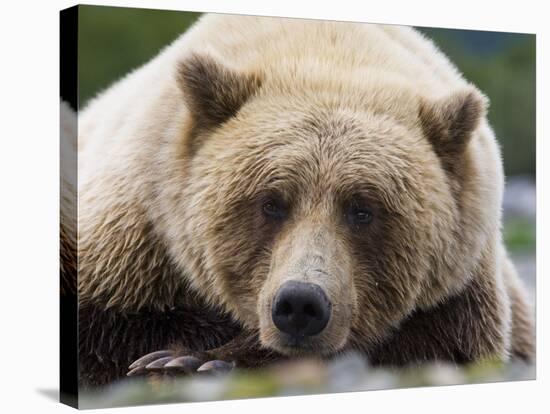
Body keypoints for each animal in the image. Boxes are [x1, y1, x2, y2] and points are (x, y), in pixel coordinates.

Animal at [76, 13, 536, 388]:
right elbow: (100, 330)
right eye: (270, 202)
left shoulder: (455, 295)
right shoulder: (138, 236)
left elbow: (425, 346)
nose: (300, 304)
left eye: (363, 209)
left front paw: (192, 361)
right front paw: (172, 358)